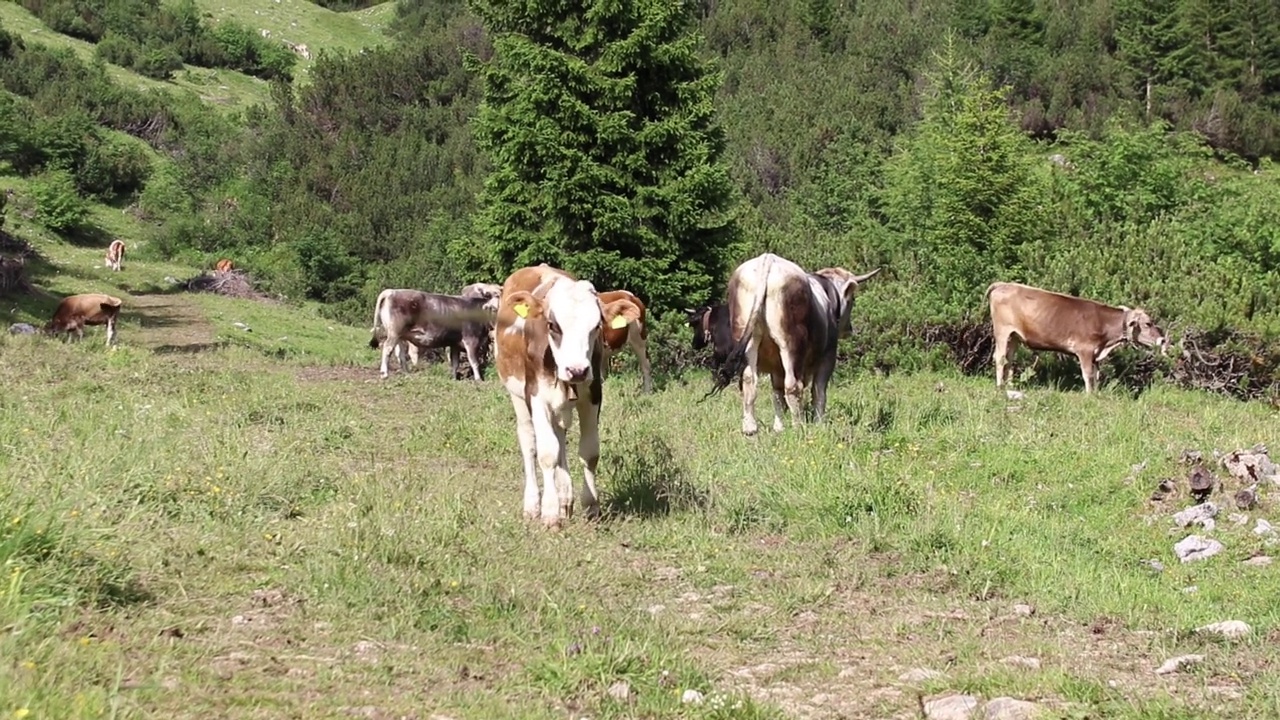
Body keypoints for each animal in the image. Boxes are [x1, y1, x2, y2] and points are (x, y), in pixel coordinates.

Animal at [496, 263, 645, 527]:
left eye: (596, 326)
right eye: (553, 325)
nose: (576, 370)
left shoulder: (592, 395)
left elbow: (589, 452)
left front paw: (591, 506)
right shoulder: (536, 397)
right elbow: (547, 453)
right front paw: (550, 512)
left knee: (561, 439)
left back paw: (566, 498)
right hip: (517, 396)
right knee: (529, 442)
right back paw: (533, 504)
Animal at [711, 251, 880, 430]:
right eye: (852, 299)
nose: (849, 329)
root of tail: (768, 259)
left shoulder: (776, 367)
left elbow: (777, 394)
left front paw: (778, 428)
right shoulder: (828, 357)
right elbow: (818, 391)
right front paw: (819, 424)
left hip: (749, 343)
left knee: (750, 381)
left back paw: (750, 428)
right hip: (791, 345)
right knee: (793, 386)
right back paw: (799, 427)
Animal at [988, 280, 1172, 392]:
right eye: (1148, 323)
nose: (1162, 340)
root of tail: (1003, 284)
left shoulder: (1096, 354)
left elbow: (1096, 375)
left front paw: (1096, 394)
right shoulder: (1085, 350)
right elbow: (1088, 374)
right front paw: (1089, 395)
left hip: (1014, 336)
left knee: (1009, 359)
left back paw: (1010, 386)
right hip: (1002, 331)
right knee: (1000, 357)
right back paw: (999, 388)